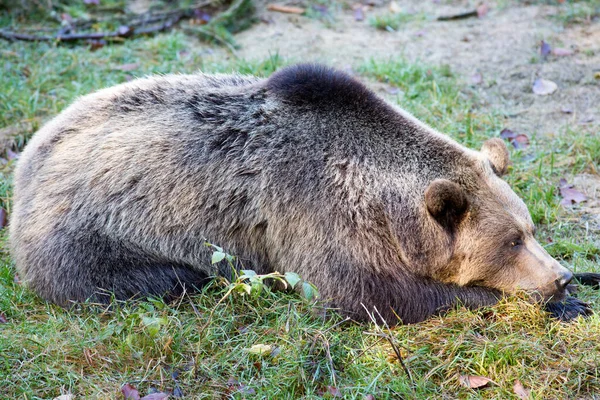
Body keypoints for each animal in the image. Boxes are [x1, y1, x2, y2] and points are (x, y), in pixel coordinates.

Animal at [10, 63, 600, 324]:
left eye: (529, 229)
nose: (560, 277)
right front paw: (554, 304)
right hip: (94, 237)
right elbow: (373, 297)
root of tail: (26, 162)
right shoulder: (313, 217)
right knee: (159, 278)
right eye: (509, 242)